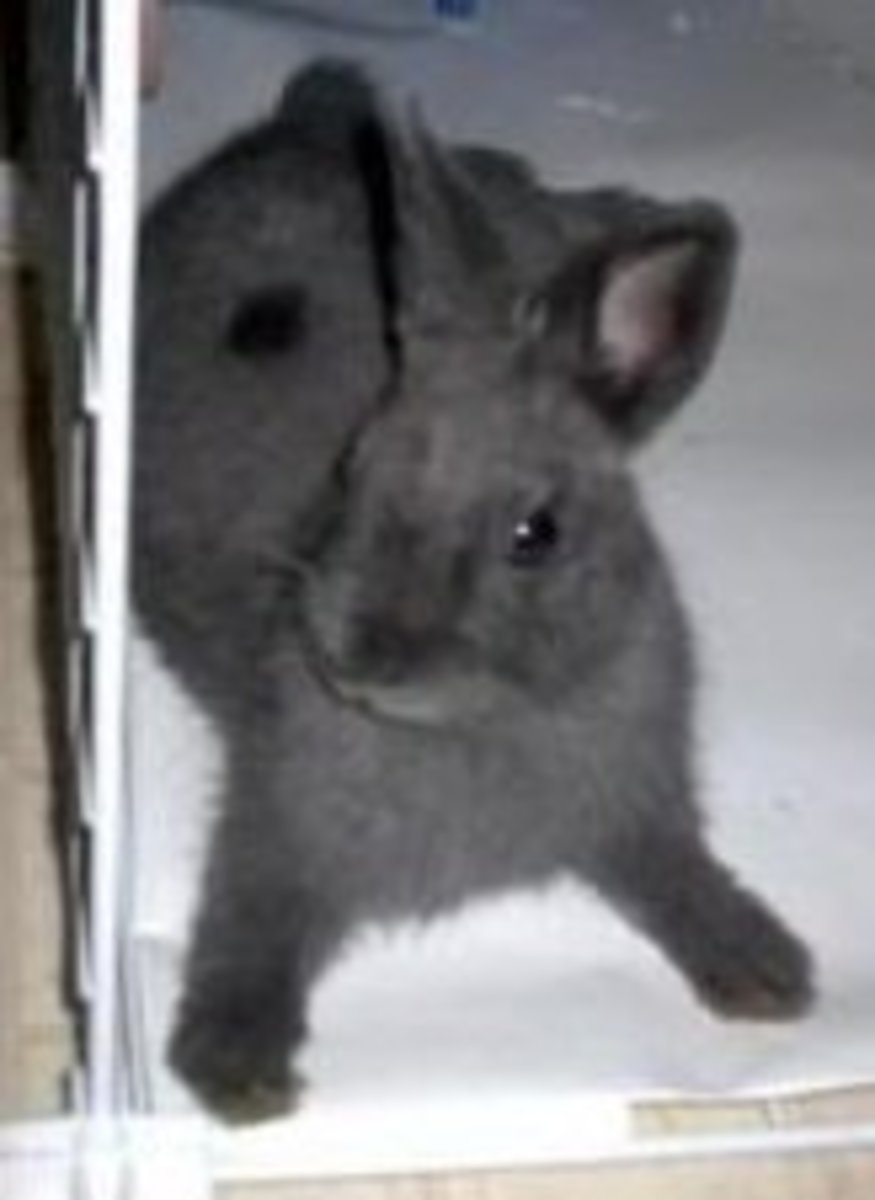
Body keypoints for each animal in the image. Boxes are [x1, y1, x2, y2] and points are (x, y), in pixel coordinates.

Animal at [133, 60, 814, 1124]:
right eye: (352, 466)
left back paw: (639, 201)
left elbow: (680, 872)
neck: (485, 721)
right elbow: (244, 931)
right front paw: (236, 1074)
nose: (356, 656)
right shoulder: (269, 826)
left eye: (535, 534)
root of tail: (304, 120)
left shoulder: (642, 808)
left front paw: (763, 972)